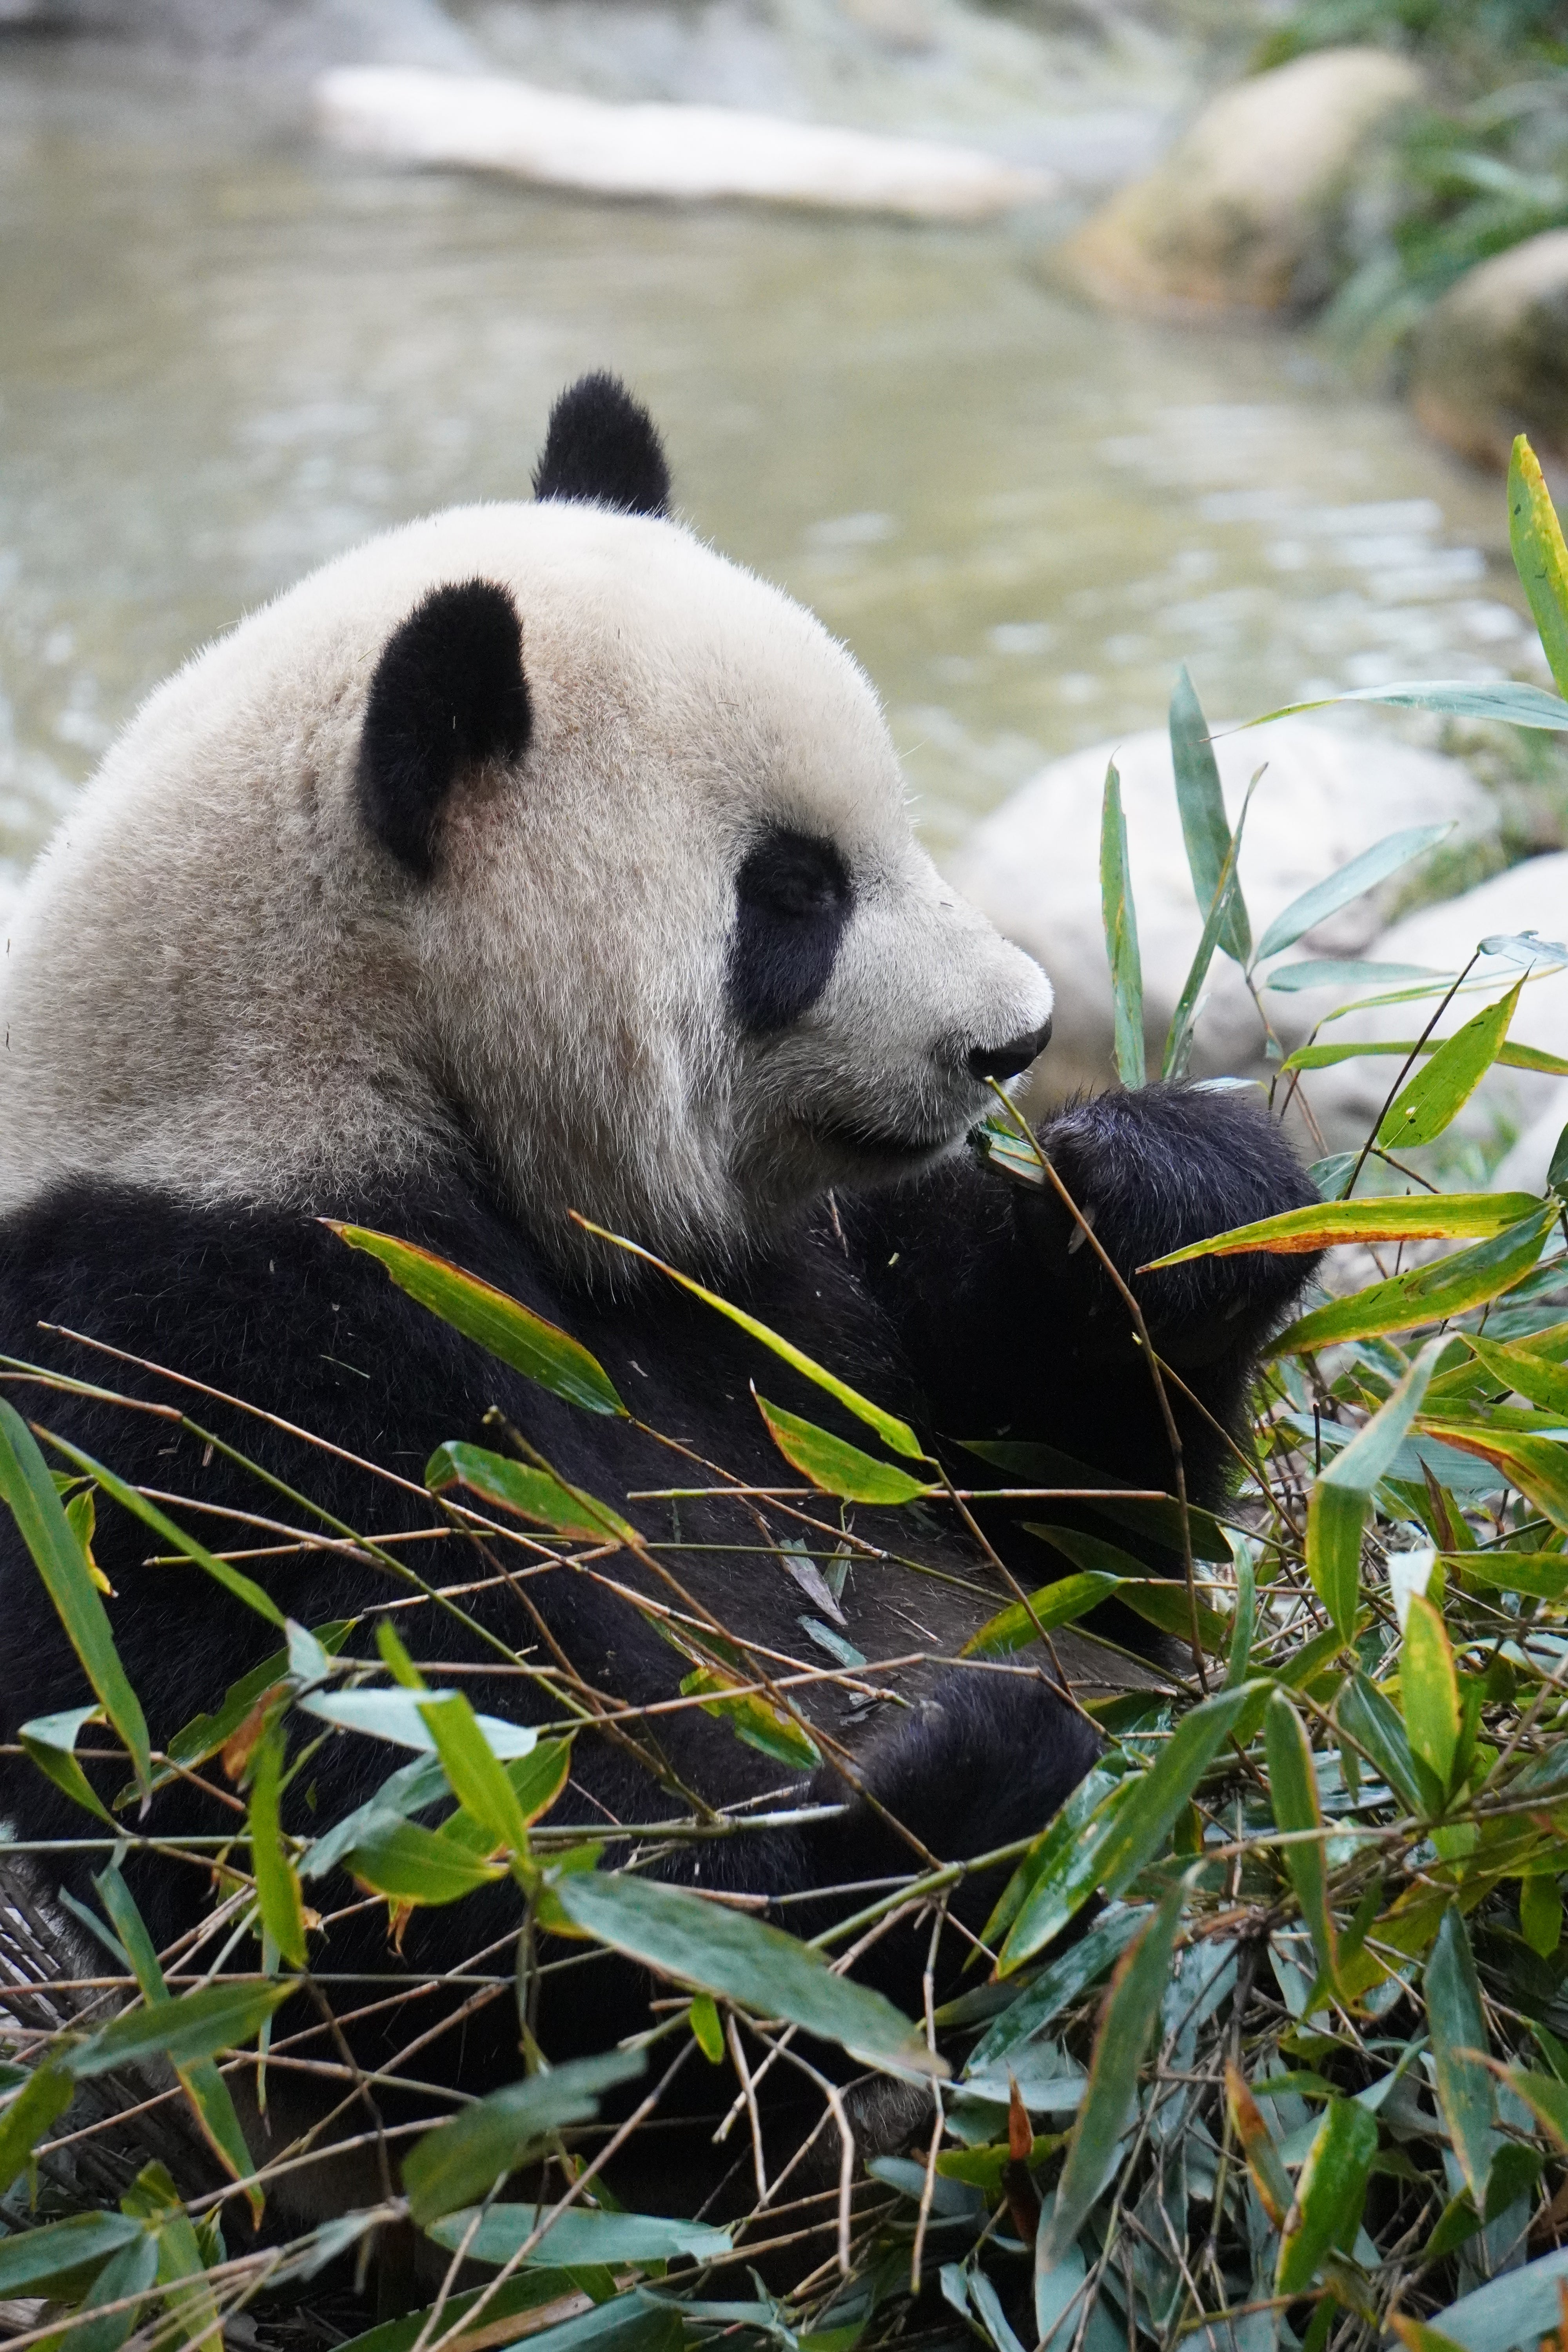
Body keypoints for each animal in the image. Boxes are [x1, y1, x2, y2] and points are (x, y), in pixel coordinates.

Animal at [0, 376, 1316, 2211]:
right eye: (792, 891)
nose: (1013, 1036)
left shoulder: (799, 1299)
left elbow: (1069, 1520)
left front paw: (1158, 1188)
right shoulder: (189, 1358)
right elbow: (409, 1903)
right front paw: (953, 1795)